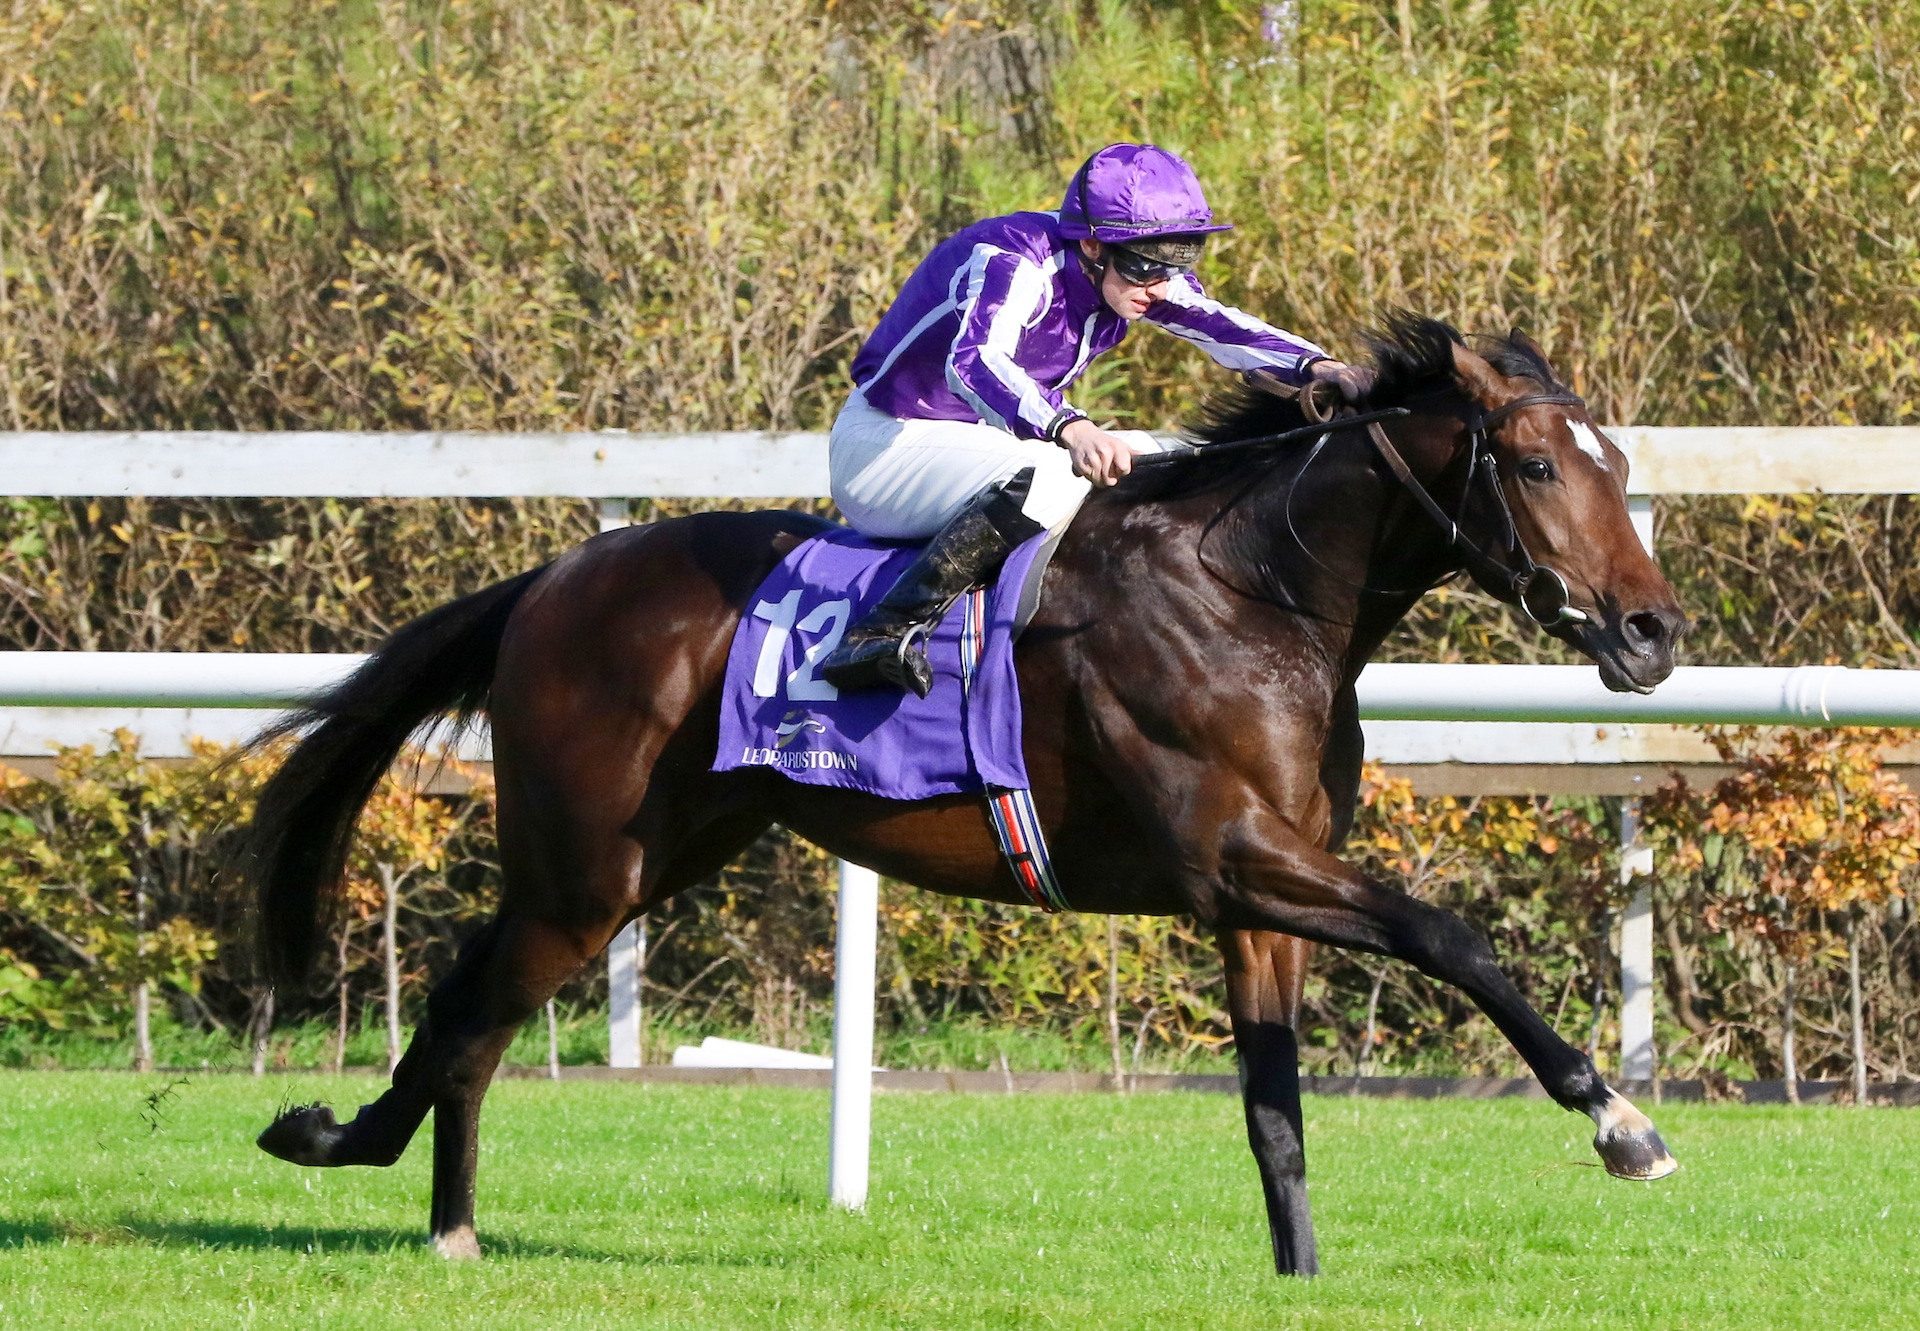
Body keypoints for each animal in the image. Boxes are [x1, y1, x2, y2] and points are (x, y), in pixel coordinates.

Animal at [247, 309, 1689, 1267]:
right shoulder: (1230, 853)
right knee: (474, 1009)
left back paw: (391, 1177)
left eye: (1624, 467)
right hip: (588, 869)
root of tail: (550, 580)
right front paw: (1621, 1119)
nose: (1652, 630)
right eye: (1542, 466)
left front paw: (1301, 1275)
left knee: (469, 1004)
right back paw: (413, 1198)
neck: (1254, 594)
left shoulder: (1257, 896)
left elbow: (1276, 1111)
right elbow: (1453, 935)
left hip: (652, 853)